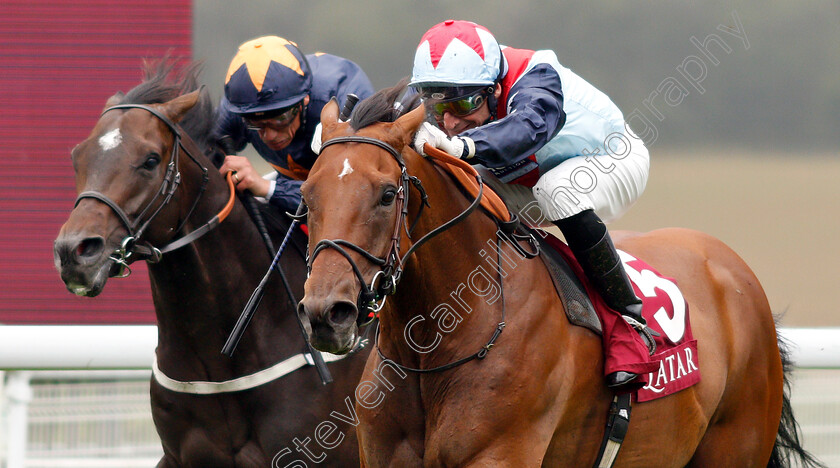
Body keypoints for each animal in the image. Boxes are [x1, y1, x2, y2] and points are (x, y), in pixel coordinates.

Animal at [296, 85, 820, 468]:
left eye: (387, 194)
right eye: (307, 194)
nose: (327, 313)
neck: (434, 350)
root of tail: (730, 265)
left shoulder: (499, 454)